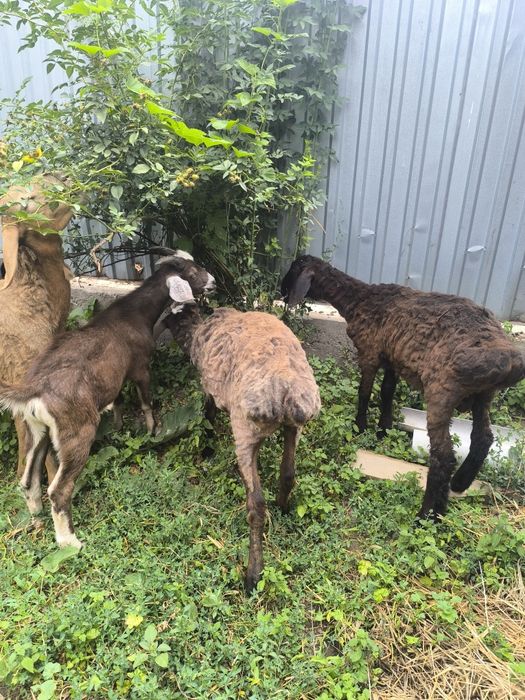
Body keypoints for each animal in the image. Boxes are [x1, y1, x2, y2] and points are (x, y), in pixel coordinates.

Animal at [0, 252, 215, 549]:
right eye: (193, 273)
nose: (213, 283)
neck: (132, 314)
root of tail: (34, 389)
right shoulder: (140, 367)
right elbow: (146, 402)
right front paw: (152, 430)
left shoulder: (116, 377)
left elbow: (118, 400)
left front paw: (118, 426)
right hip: (76, 431)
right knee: (59, 489)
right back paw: (70, 542)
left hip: (36, 429)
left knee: (28, 480)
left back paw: (37, 521)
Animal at [160, 305, 321, 592]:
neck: (195, 332)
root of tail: (286, 391)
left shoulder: (209, 387)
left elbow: (208, 413)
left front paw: (207, 450)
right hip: (294, 427)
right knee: (288, 473)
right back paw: (283, 509)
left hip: (245, 430)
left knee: (256, 505)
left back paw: (253, 575)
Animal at [281, 255, 525, 521]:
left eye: (293, 269)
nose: (281, 291)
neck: (359, 298)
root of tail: (509, 359)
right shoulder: (392, 357)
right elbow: (387, 391)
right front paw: (383, 429)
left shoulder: (369, 352)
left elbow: (364, 392)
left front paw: (360, 427)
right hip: (483, 394)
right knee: (483, 438)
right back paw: (458, 485)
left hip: (442, 391)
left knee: (443, 457)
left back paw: (427, 514)